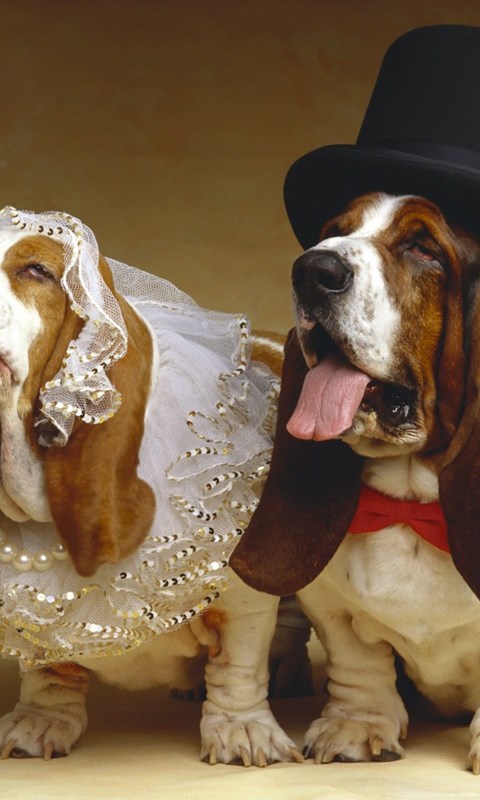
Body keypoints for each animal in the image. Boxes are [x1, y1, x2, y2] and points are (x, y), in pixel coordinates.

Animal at [0, 206, 303, 765]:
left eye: (37, 271)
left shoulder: (244, 592)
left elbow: (239, 666)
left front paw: (243, 730)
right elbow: (47, 662)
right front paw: (40, 721)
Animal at [230, 191, 480, 773]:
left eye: (423, 248)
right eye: (332, 233)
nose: (312, 271)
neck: (409, 505)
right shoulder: (329, 603)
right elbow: (358, 662)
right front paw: (356, 728)